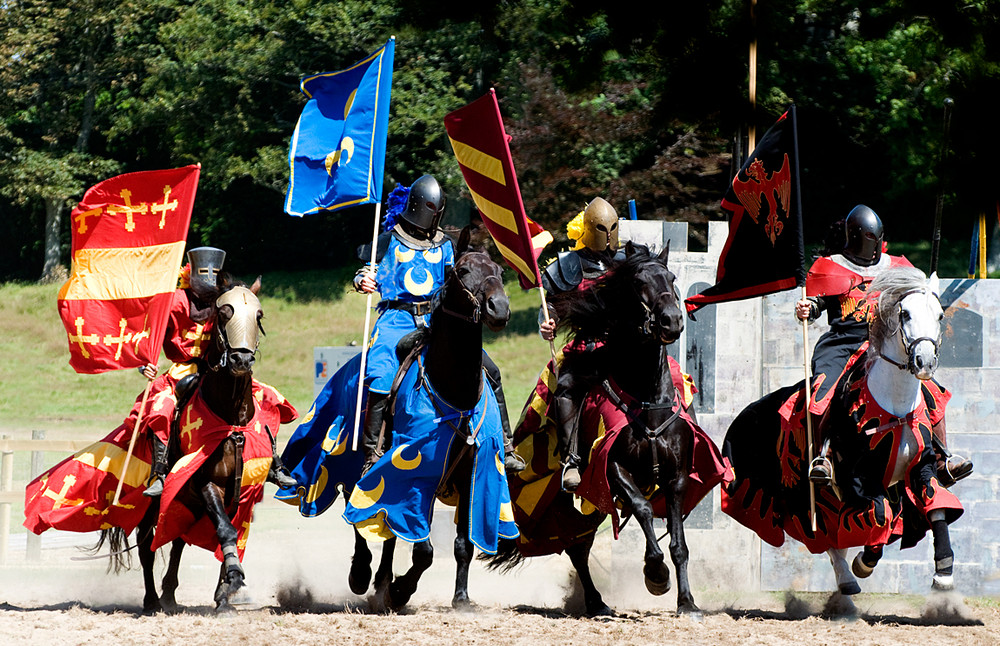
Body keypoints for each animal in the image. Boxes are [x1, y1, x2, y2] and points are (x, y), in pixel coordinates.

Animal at [480, 242, 724, 616]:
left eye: (670, 278)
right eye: (639, 282)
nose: (671, 320)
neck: (646, 399)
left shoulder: (677, 477)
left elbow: (679, 542)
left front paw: (686, 601)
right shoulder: (613, 469)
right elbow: (642, 509)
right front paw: (656, 574)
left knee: (577, 543)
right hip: (571, 498)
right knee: (576, 547)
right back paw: (595, 601)